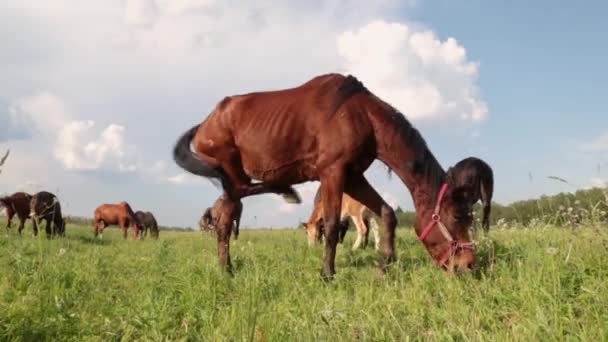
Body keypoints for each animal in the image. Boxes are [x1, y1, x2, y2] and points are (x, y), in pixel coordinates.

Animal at [173, 73, 478, 280]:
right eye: (457, 217)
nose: (468, 264)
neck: (362, 115)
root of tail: (205, 124)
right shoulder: (333, 172)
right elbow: (330, 226)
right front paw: (327, 274)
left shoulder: (353, 176)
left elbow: (387, 213)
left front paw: (385, 265)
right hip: (230, 172)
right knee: (230, 211)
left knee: (229, 211)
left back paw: (227, 266)